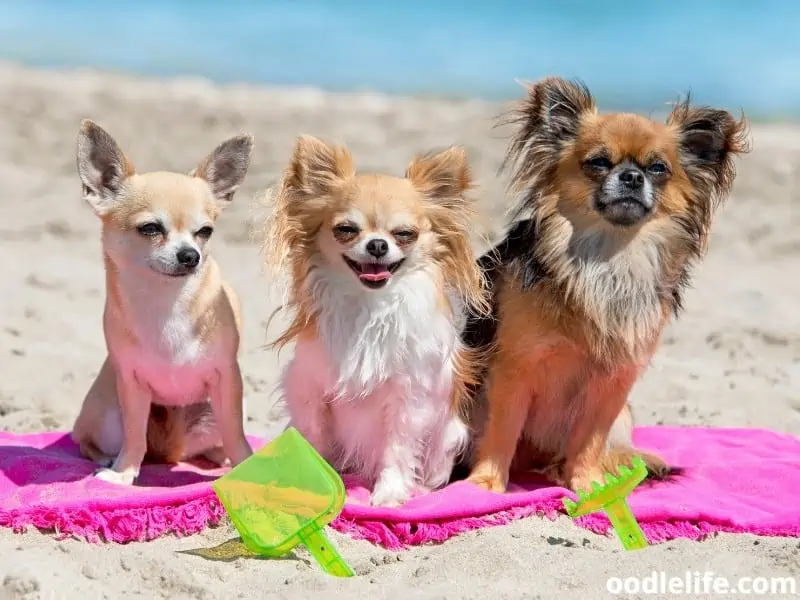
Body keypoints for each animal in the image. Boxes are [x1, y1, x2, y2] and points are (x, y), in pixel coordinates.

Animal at [462, 76, 752, 492]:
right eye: (598, 163)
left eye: (658, 168)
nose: (631, 176)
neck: (610, 258)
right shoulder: (515, 369)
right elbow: (502, 429)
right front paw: (485, 483)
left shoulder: (613, 382)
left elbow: (590, 439)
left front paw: (587, 485)